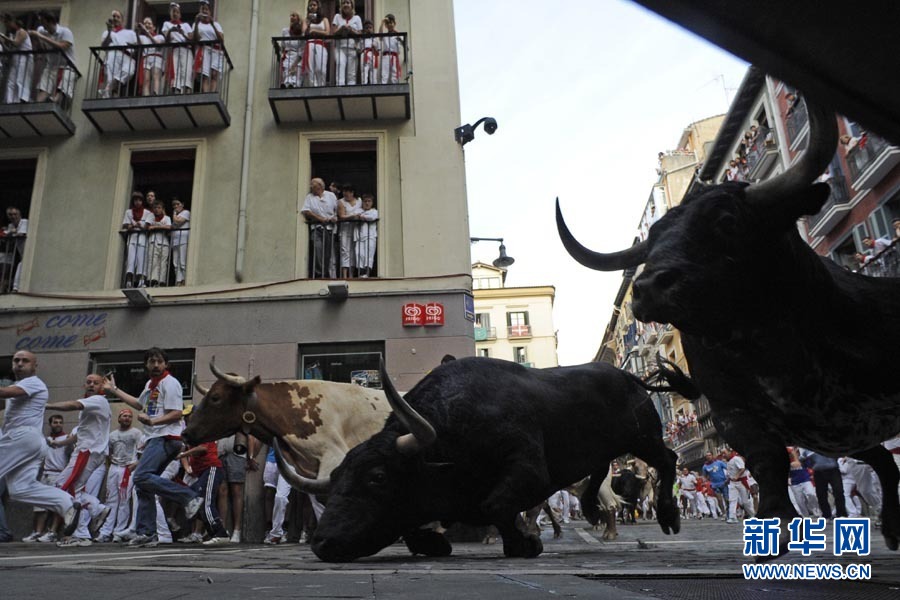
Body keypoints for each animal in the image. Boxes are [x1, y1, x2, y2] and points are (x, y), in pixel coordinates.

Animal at [306, 356, 700, 564]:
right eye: (336, 478)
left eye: (377, 477)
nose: (322, 543)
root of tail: (630, 377)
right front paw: (432, 542)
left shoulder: (530, 469)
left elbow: (495, 506)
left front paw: (524, 543)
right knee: (601, 470)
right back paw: (590, 509)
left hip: (643, 439)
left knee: (667, 460)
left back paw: (668, 516)